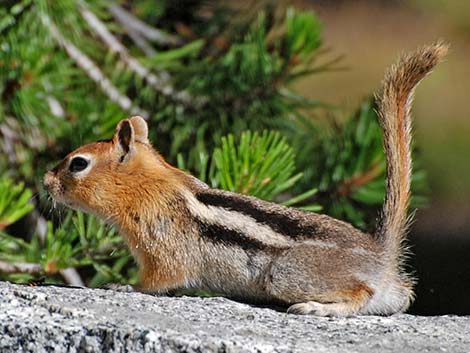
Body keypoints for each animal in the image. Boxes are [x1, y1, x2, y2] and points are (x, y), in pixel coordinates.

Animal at [44, 42, 448, 314]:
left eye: (77, 164)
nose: (45, 181)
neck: (147, 187)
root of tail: (381, 255)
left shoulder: (163, 250)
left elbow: (158, 281)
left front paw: (123, 286)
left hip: (285, 273)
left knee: (362, 293)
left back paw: (318, 308)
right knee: (403, 295)